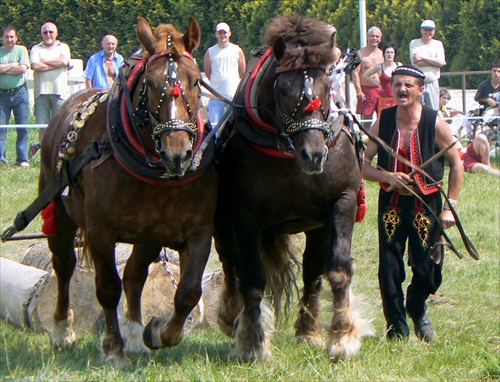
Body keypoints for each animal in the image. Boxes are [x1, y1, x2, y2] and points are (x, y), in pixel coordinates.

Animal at [39, 17, 217, 368]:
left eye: (196, 81)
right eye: (149, 83)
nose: (178, 155)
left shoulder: (199, 230)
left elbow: (188, 292)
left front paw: (157, 333)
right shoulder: (100, 231)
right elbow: (108, 287)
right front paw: (112, 347)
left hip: (148, 235)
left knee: (134, 274)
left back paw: (135, 334)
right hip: (60, 213)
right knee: (64, 264)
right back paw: (62, 330)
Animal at [213, 14, 374, 362]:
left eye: (328, 85)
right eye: (285, 88)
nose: (313, 154)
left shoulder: (342, 203)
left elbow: (338, 269)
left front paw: (342, 336)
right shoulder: (244, 215)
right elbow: (252, 277)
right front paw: (253, 343)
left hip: (318, 226)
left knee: (313, 271)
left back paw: (309, 330)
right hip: (223, 225)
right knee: (231, 263)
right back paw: (232, 317)